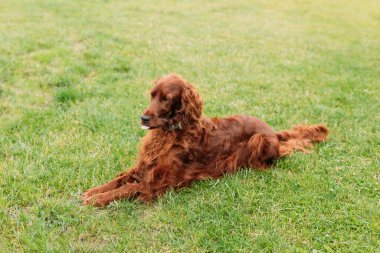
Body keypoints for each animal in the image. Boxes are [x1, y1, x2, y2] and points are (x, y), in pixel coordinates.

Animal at [81, 72, 328, 206]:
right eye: (151, 95)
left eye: (166, 98)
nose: (144, 118)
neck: (170, 134)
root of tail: (272, 131)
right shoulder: (144, 167)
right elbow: (118, 180)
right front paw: (93, 192)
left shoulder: (157, 184)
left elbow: (126, 189)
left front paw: (95, 200)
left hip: (257, 141)